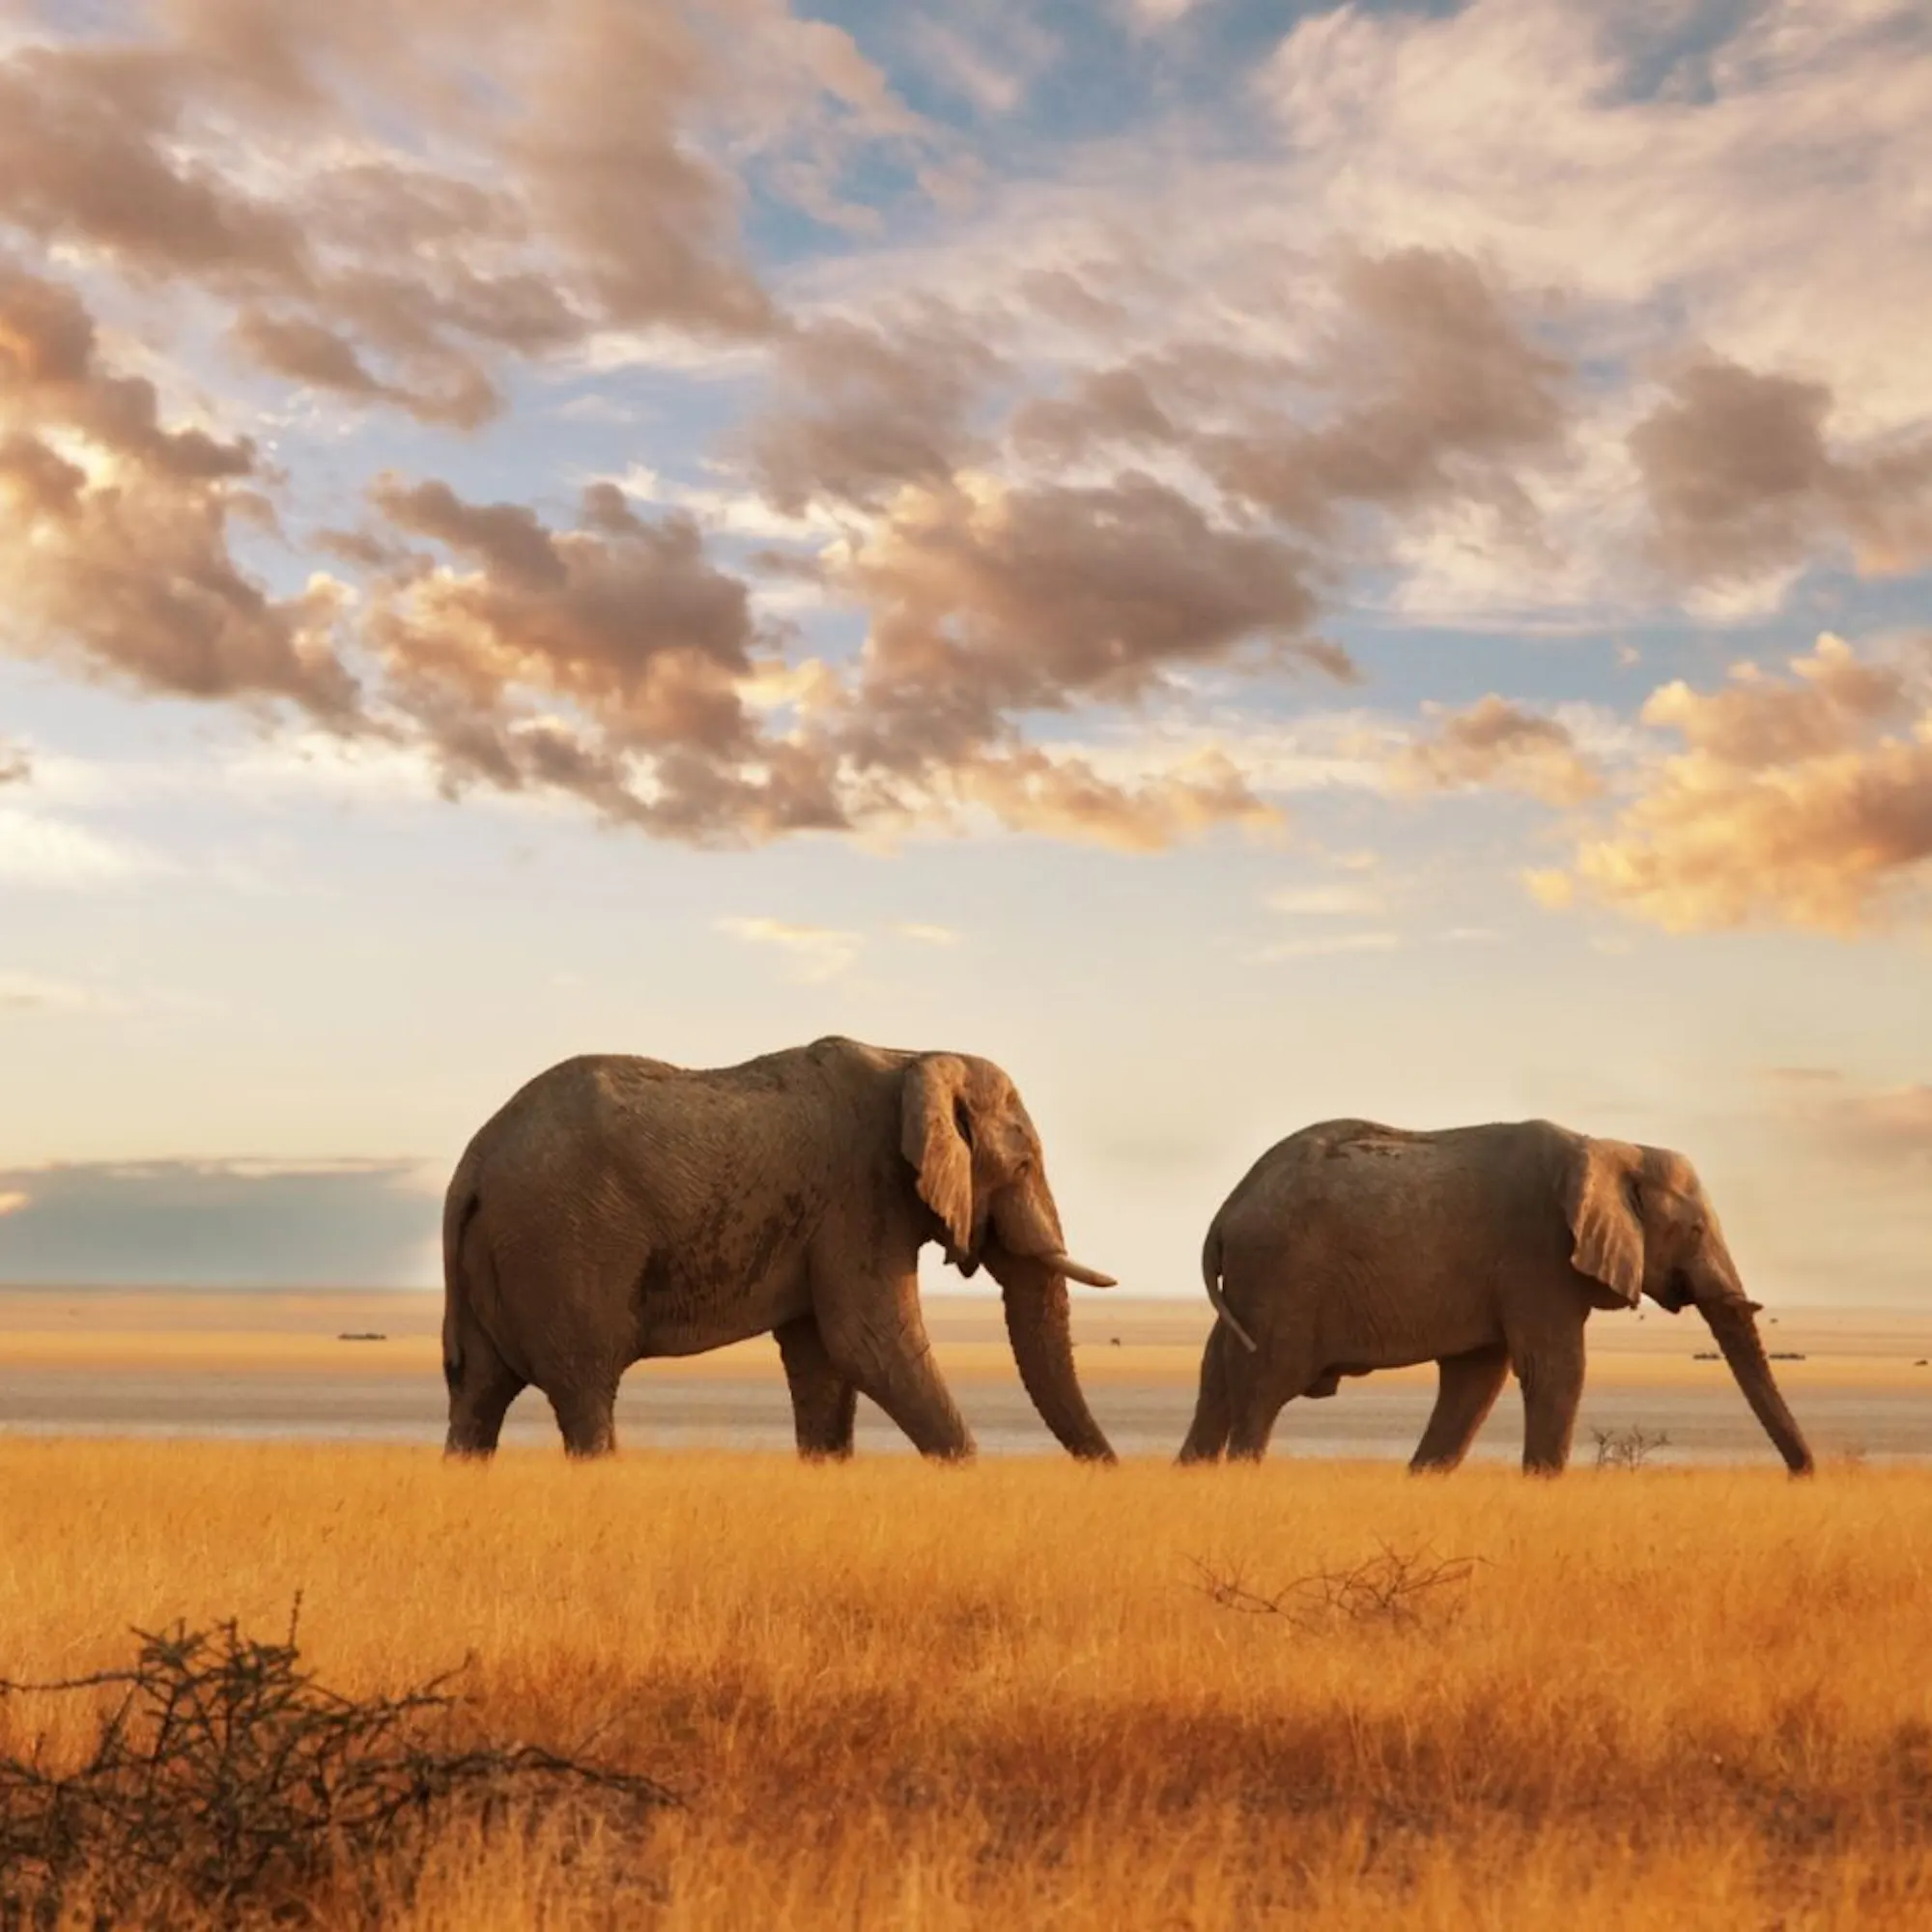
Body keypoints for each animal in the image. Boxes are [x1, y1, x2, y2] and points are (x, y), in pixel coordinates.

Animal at [440, 1035, 1118, 1462]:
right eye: (1023, 1166)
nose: (1109, 1472)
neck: (915, 1056)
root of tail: (473, 1161)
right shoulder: (860, 1196)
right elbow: (869, 1343)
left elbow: (823, 1360)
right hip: (564, 1244)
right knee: (584, 1387)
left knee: (478, 1391)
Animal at [1178, 1117, 1814, 1476]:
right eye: (1697, 1230)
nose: (1804, 1475)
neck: (1611, 1149)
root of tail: (1227, 1210)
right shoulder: (1537, 1255)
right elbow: (1554, 1368)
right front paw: (1544, 1485)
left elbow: (1477, 1378)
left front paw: (1424, 1480)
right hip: (1282, 1278)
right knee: (1265, 1386)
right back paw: (1241, 1475)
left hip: (1254, 1282)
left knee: (1217, 1378)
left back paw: (1191, 1474)